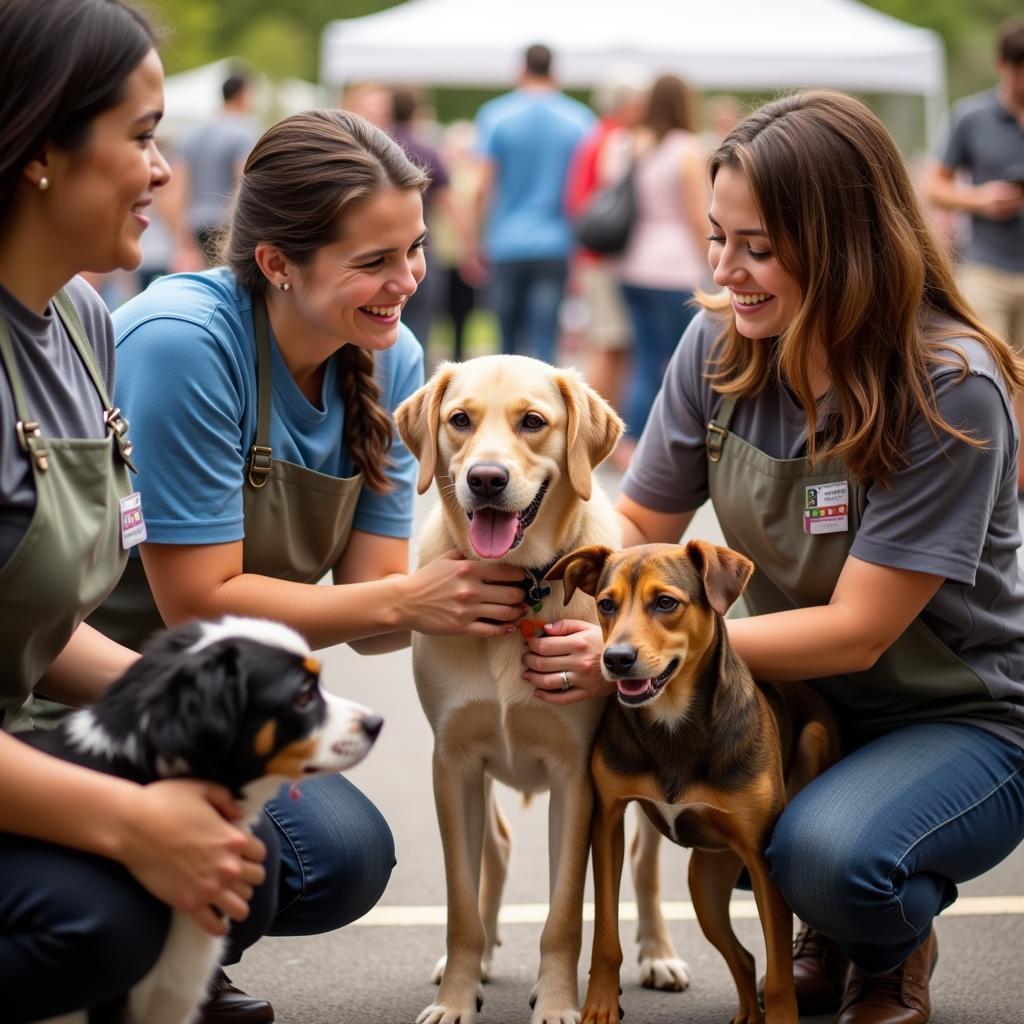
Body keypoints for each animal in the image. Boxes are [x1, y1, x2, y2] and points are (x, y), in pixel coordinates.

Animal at [397, 354, 622, 1024]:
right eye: (459, 420)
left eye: (532, 422)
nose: (487, 479)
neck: (516, 585)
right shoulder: (454, 763)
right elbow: (461, 906)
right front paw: (455, 996)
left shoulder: (576, 777)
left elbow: (564, 914)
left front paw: (558, 1003)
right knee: (493, 850)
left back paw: (658, 957)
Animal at [552, 540, 839, 1019]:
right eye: (606, 605)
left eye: (666, 603)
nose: (615, 659)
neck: (672, 720)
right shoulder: (607, 823)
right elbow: (606, 937)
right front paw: (600, 1007)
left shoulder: (762, 861)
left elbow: (780, 974)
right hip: (704, 883)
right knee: (743, 958)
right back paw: (747, 1015)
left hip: (812, 743)